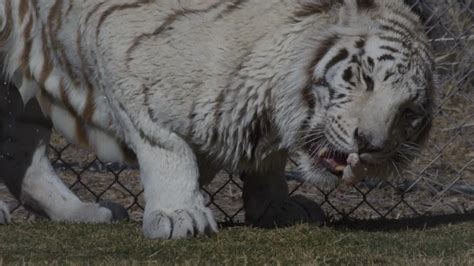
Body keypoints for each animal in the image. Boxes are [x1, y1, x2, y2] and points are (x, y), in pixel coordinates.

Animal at [0, 0, 434, 240]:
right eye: (365, 77)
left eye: (409, 111)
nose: (369, 144)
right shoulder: (121, 52)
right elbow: (167, 147)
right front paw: (178, 215)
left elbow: (268, 163)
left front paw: (276, 209)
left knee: (22, 155)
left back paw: (82, 213)